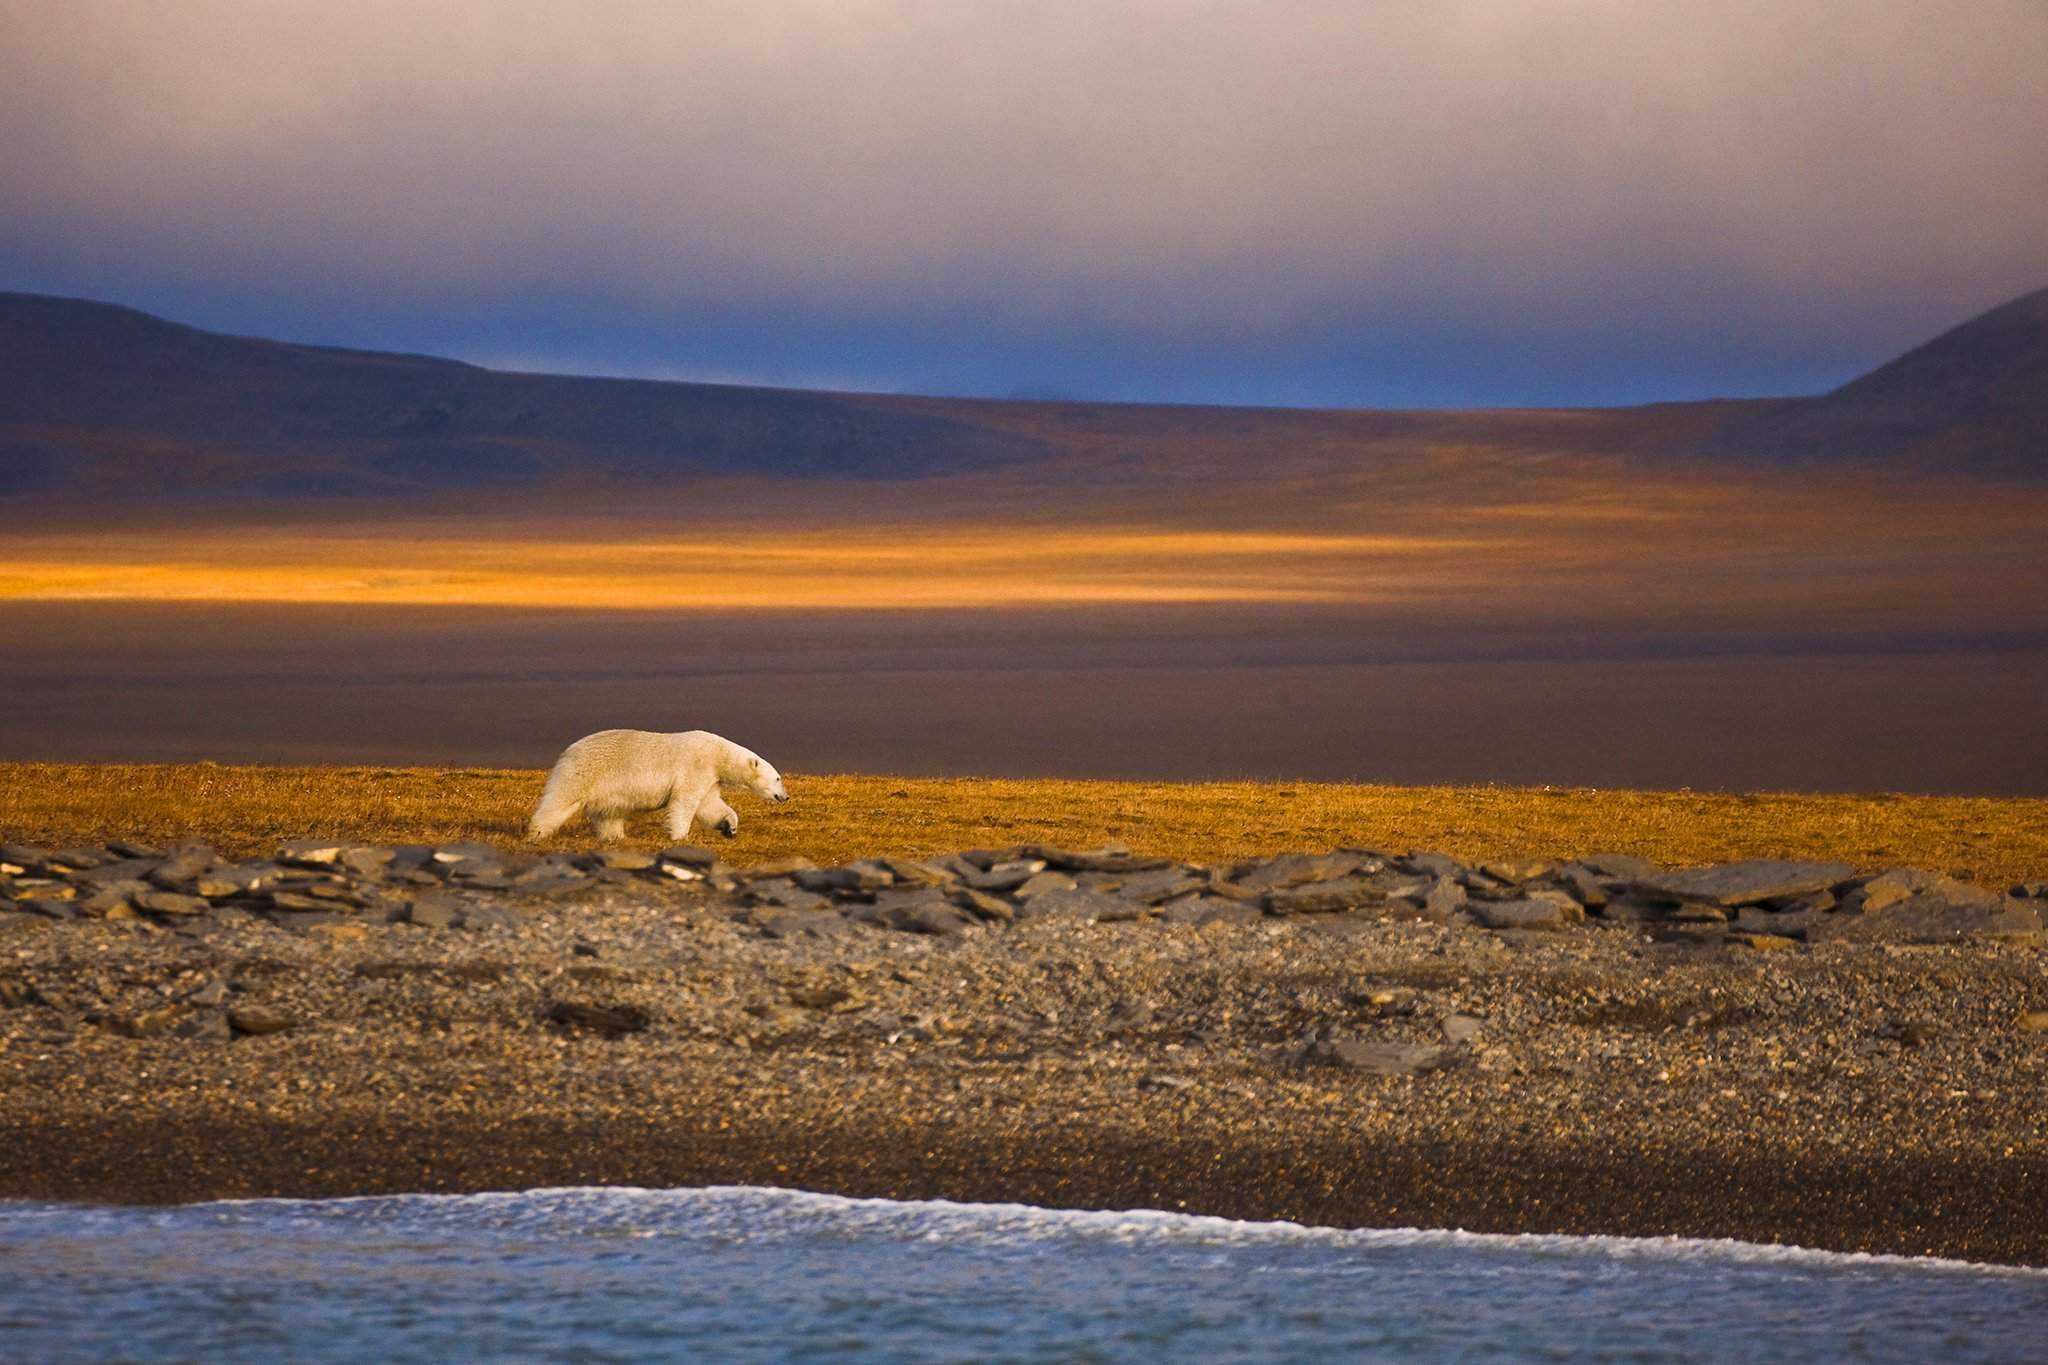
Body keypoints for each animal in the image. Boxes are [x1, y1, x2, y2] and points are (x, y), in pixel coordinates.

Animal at [524, 724, 786, 843]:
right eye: (777, 778)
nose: (785, 797)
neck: (719, 754)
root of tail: (568, 750)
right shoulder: (697, 766)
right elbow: (684, 802)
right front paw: (680, 836)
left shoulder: (710, 777)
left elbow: (709, 805)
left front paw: (729, 827)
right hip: (584, 772)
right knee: (559, 800)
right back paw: (537, 833)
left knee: (610, 813)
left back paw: (616, 837)